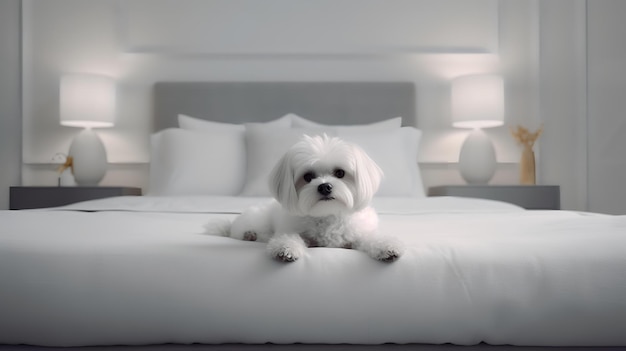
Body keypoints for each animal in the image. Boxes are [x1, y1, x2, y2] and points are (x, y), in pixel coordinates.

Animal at [227, 135, 402, 264]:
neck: (327, 215)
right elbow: (289, 237)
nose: (324, 187)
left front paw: (387, 247)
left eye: (340, 173)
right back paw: (249, 234)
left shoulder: (358, 232)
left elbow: (371, 238)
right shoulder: (291, 229)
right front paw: (286, 248)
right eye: (308, 177)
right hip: (257, 220)